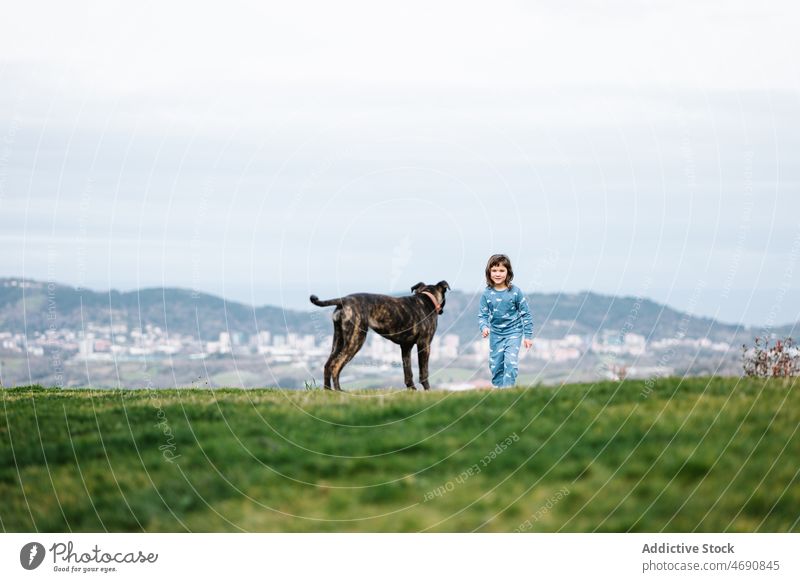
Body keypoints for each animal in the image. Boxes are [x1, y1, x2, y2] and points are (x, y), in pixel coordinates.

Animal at [310, 282, 450, 392]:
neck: (426, 298)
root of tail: (343, 299)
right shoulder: (424, 344)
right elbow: (424, 371)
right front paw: (427, 390)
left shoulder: (406, 347)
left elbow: (408, 372)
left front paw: (412, 390)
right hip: (356, 340)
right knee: (336, 365)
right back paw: (339, 390)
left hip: (338, 341)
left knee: (328, 365)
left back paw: (328, 391)